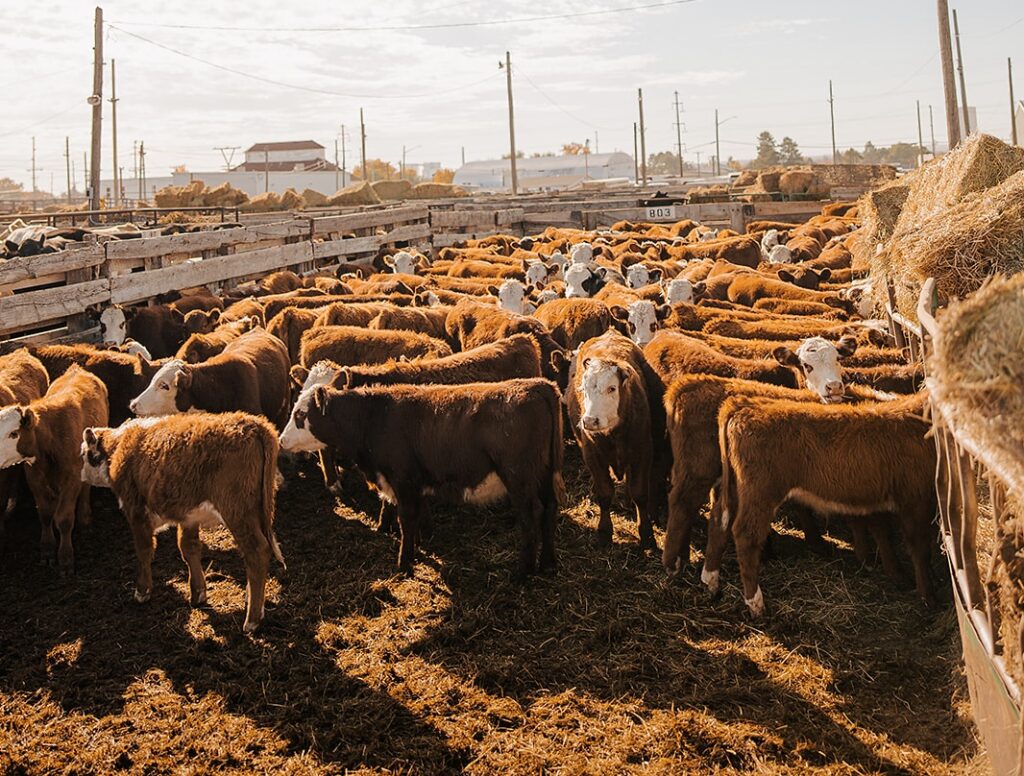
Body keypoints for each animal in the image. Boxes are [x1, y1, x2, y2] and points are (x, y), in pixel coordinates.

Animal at [0, 366, 108, 572]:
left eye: (14, 433)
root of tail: (77, 369)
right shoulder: (34, 477)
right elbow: (45, 514)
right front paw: (48, 549)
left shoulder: (72, 478)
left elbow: (64, 519)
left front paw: (65, 558)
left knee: (85, 489)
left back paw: (85, 519)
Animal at [81, 412, 285, 632]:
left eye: (82, 454)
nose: (81, 476)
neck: (118, 446)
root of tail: (253, 424)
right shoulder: (188, 516)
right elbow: (189, 548)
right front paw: (198, 594)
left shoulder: (136, 511)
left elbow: (144, 550)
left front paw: (142, 591)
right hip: (259, 511)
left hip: (237, 512)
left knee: (257, 551)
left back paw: (252, 619)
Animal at [279, 379, 564, 579]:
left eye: (300, 415)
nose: (281, 440)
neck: (375, 417)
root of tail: (538, 386)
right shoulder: (415, 483)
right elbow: (416, 518)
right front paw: (417, 547)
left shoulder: (403, 481)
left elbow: (406, 520)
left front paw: (404, 564)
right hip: (544, 475)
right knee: (550, 509)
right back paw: (548, 563)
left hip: (519, 479)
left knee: (531, 515)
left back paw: (523, 571)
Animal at [705, 394, 936, 616]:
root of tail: (743, 405)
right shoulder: (916, 498)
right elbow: (920, 548)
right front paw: (927, 597)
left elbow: (882, 533)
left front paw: (894, 574)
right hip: (760, 493)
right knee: (746, 535)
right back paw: (756, 605)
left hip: (734, 486)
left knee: (719, 521)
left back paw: (711, 582)